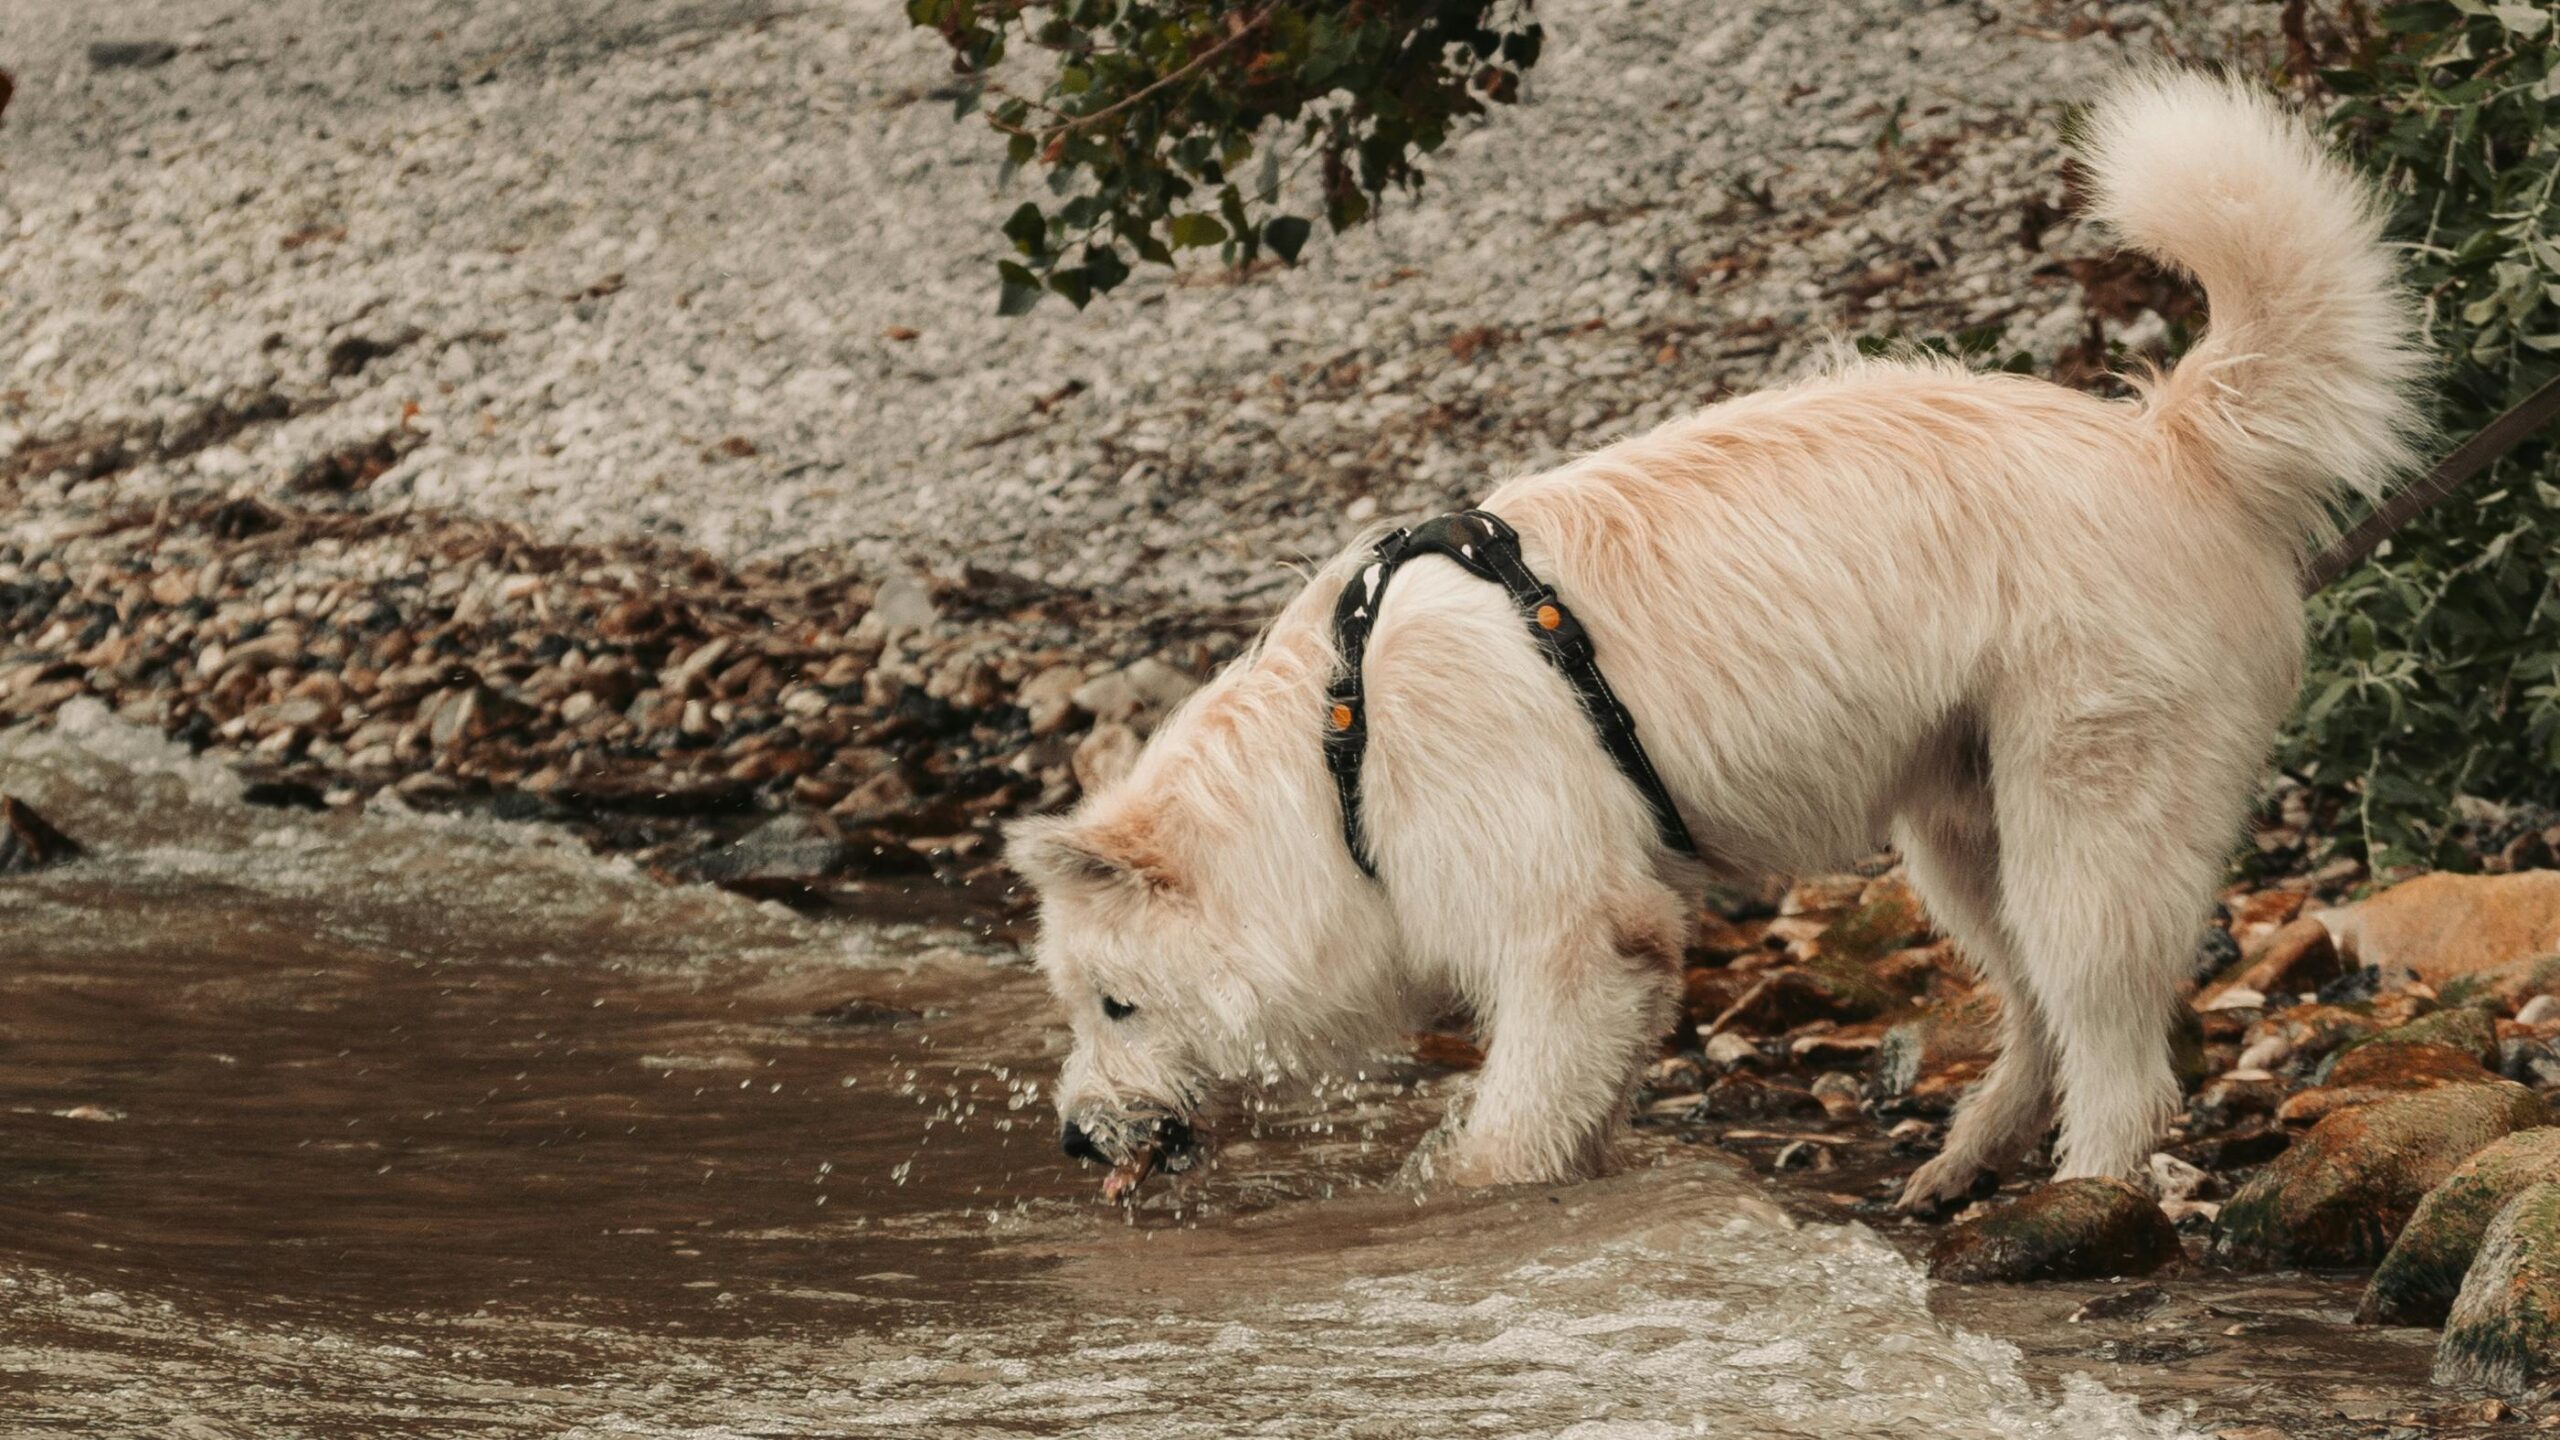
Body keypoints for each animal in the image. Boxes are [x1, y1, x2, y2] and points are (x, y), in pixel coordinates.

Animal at [1003, 73, 2416, 1204]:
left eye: (1119, 1003)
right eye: (1083, 1007)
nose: (1070, 1140)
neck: (1335, 752)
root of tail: (2168, 441)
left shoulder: (1570, 931)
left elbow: (1501, 1140)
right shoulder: (1625, 943)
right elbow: (1577, 1106)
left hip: (2086, 818)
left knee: (2114, 1047)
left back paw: (2084, 1201)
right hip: (1964, 830)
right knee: (2030, 1012)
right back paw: (1965, 1161)